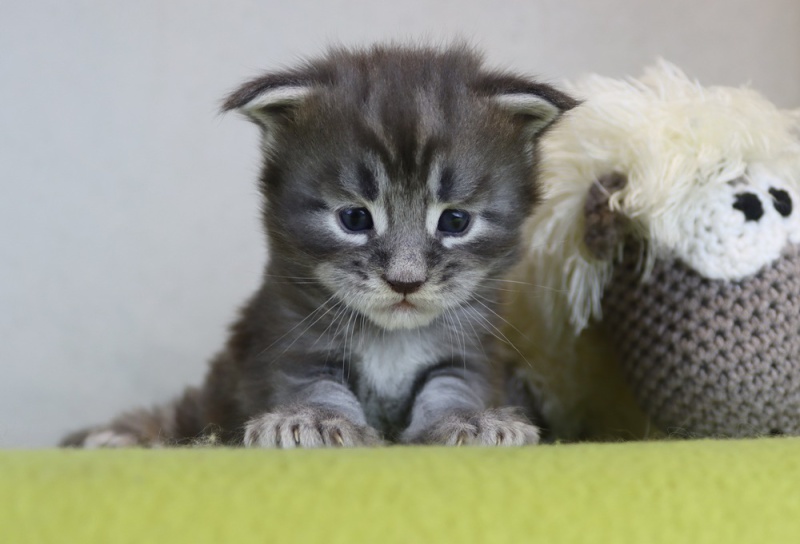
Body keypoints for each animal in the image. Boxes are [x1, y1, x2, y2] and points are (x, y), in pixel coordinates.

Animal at [61, 44, 576, 448]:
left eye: (454, 221)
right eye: (354, 219)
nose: (405, 281)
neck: (390, 339)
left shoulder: (471, 354)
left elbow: (451, 388)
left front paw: (470, 420)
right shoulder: (288, 340)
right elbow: (315, 386)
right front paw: (312, 420)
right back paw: (118, 436)